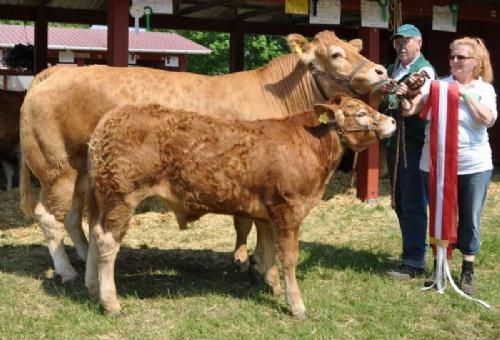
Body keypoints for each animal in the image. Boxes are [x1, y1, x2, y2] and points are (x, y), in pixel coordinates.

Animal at [20, 30, 386, 282]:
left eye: (356, 48)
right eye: (336, 54)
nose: (382, 71)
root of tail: (56, 71)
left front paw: (251, 260)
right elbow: (247, 222)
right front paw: (250, 262)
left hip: (82, 171)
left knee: (71, 217)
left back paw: (84, 259)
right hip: (56, 168)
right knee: (48, 217)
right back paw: (67, 271)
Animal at [86, 93, 396, 318]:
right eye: (361, 113)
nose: (392, 120)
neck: (309, 143)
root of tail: (110, 117)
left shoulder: (268, 212)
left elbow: (268, 251)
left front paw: (272, 285)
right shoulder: (288, 209)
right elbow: (289, 257)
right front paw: (296, 304)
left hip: (102, 198)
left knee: (94, 234)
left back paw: (92, 288)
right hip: (121, 197)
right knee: (107, 242)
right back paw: (111, 303)